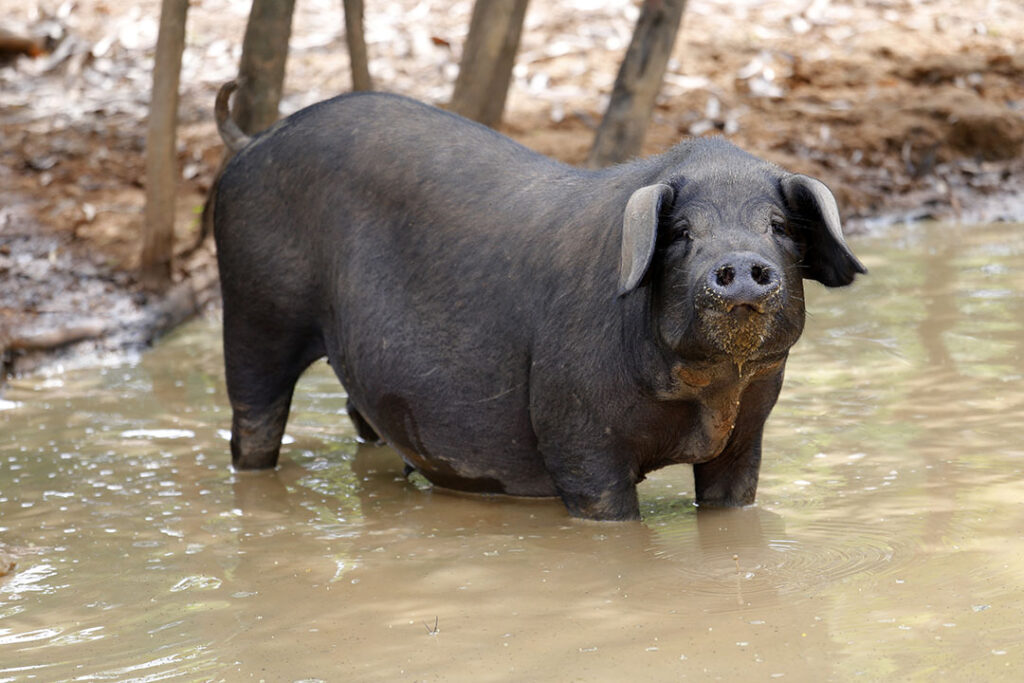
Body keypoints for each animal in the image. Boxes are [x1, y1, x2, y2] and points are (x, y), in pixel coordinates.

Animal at [209, 83, 864, 524]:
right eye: (681, 233)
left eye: (778, 226)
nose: (741, 265)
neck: (708, 395)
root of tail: (254, 138)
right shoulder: (576, 434)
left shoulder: (746, 434)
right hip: (254, 310)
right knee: (253, 420)